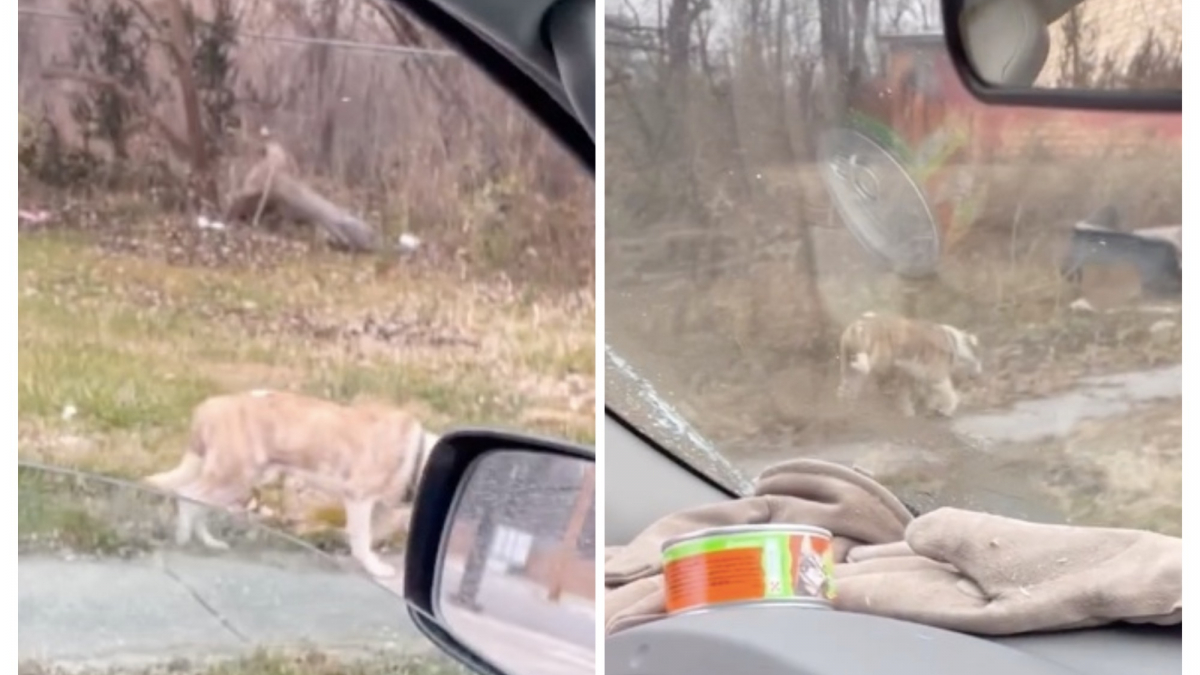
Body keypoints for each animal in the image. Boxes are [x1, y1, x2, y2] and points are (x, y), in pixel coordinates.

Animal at [143, 389, 439, 571]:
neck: (417, 455)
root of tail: (211, 406)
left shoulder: (376, 507)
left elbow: (365, 536)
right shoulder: (359, 497)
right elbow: (362, 537)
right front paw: (373, 566)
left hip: (233, 478)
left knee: (198, 503)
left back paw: (209, 541)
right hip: (233, 475)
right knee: (189, 496)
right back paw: (185, 537)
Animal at [840, 309, 979, 415]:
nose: (976, 376)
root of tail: (857, 325)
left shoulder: (915, 374)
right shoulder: (935, 375)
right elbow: (949, 394)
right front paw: (946, 410)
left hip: (848, 360)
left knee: (847, 383)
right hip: (875, 361)